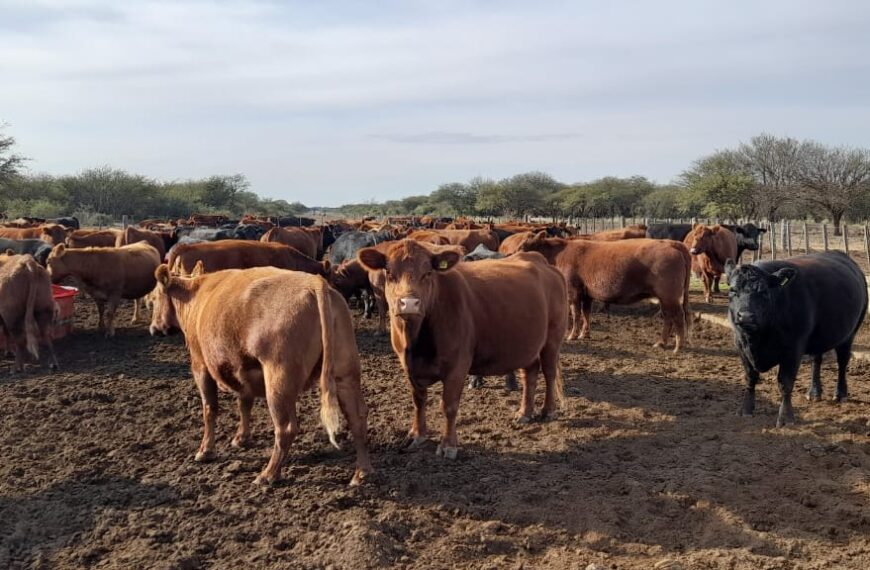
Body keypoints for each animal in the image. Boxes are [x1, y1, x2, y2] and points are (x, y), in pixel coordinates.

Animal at [149, 262, 372, 484]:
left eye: (154, 298)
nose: (153, 328)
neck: (196, 296)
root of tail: (315, 283)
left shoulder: (200, 366)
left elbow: (210, 409)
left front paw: (205, 451)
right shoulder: (241, 370)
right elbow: (244, 403)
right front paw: (241, 438)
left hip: (278, 380)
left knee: (286, 428)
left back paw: (268, 474)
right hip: (345, 373)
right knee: (357, 417)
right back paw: (360, 474)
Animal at [358, 240, 568, 458]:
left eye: (428, 273)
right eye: (389, 272)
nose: (409, 303)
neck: (416, 342)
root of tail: (543, 263)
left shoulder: (457, 366)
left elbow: (449, 406)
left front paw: (448, 445)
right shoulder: (409, 367)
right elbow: (418, 401)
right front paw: (417, 434)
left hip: (552, 340)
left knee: (549, 373)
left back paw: (548, 411)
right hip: (527, 345)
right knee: (530, 373)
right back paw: (524, 412)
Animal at [516, 232, 696, 350]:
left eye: (524, 246)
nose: (513, 256)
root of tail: (671, 243)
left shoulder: (573, 291)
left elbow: (576, 314)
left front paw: (572, 335)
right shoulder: (587, 293)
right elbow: (586, 313)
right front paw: (584, 334)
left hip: (669, 295)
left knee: (677, 316)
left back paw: (678, 346)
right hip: (665, 298)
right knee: (668, 317)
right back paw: (661, 342)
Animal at [728, 253, 864, 426]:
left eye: (764, 291)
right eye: (732, 290)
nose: (745, 316)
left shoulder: (793, 349)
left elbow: (785, 383)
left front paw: (786, 418)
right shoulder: (740, 345)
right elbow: (750, 377)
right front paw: (746, 410)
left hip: (849, 334)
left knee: (842, 362)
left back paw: (840, 394)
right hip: (818, 338)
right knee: (816, 361)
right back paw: (814, 392)